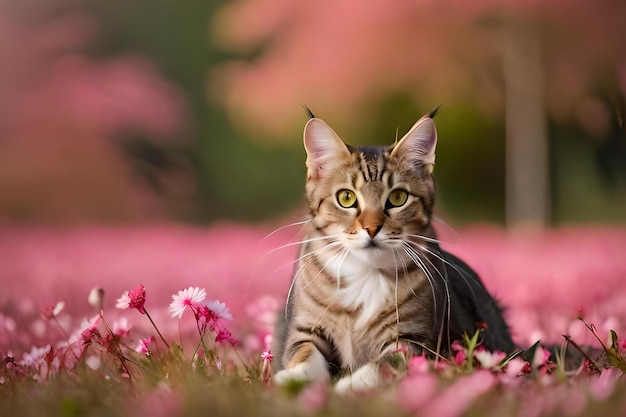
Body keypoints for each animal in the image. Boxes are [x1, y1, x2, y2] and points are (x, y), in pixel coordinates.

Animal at [272, 109, 512, 392]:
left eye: (398, 198)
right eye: (346, 198)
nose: (372, 228)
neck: (366, 273)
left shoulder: (416, 341)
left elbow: (385, 365)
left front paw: (350, 386)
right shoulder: (305, 331)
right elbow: (305, 354)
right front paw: (293, 379)